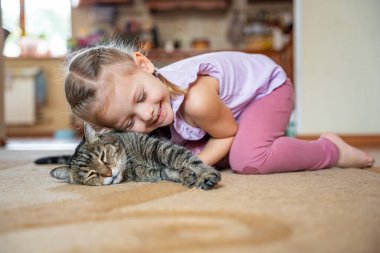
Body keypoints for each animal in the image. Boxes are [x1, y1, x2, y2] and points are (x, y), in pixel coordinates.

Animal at [50, 123, 223, 191]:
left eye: (103, 156)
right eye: (91, 174)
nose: (108, 173)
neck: (132, 164)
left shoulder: (159, 147)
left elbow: (185, 158)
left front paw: (205, 174)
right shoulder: (157, 172)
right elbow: (173, 170)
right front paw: (188, 176)